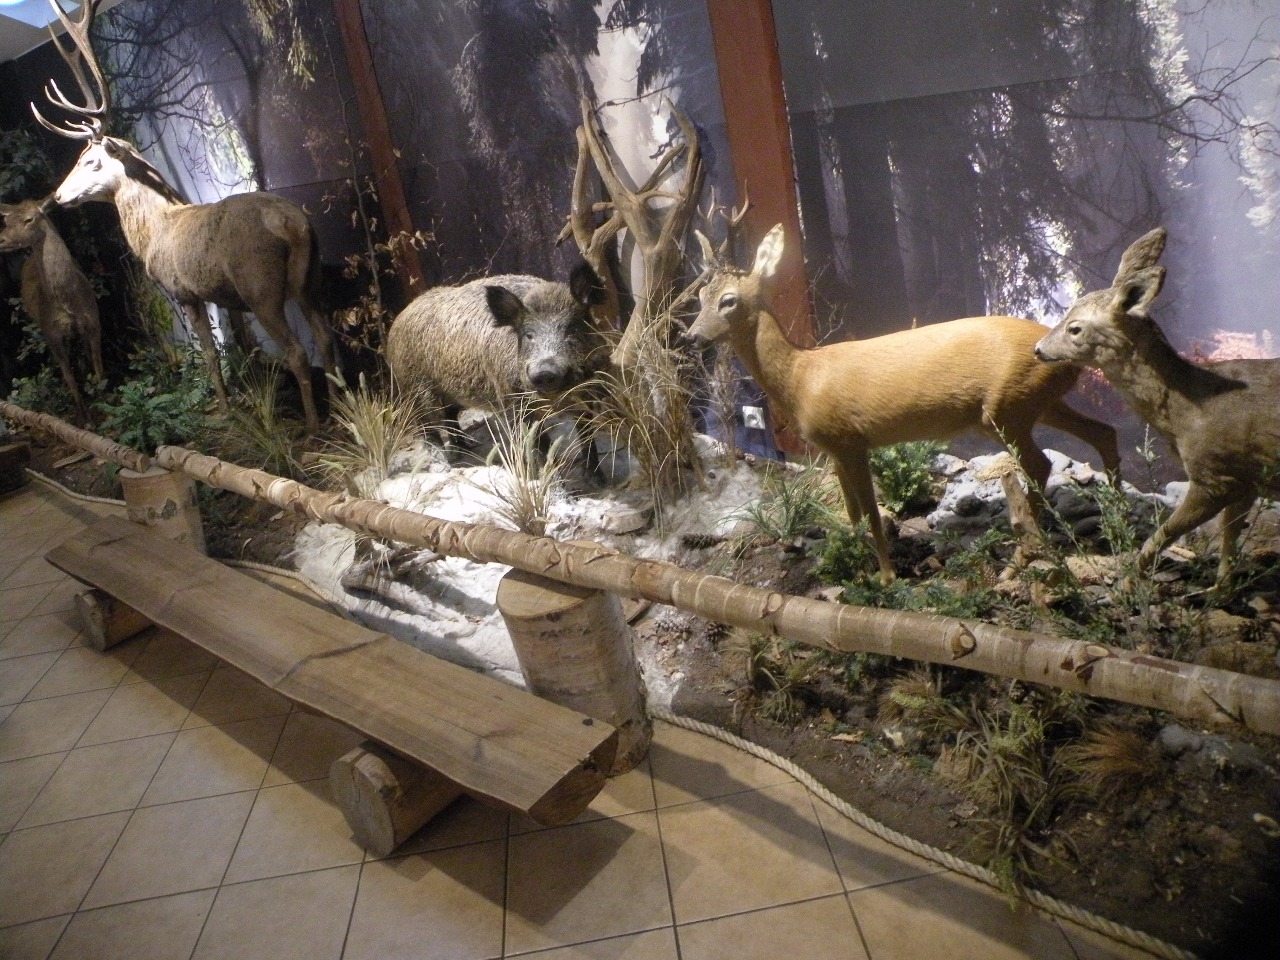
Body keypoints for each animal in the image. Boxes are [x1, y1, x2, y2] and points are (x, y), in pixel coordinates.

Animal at [0, 196, 104, 423]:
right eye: (6, 221)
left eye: (29, 219)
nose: (1, 240)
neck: (69, 302)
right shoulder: (51, 331)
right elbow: (68, 376)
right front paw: (86, 419)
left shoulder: (94, 321)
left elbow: (98, 364)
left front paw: (106, 403)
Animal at [31, 0, 336, 433]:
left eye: (89, 161)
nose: (58, 195)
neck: (153, 232)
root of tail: (294, 225)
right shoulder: (221, 297)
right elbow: (239, 348)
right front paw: (249, 397)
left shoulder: (183, 290)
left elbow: (210, 352)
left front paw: (224, 409)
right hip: (311, 278)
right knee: (325, 336)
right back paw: (344, 403)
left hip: (260, 286)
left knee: (296, 350)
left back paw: (312, 426)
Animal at [686, 224, 1122, 586]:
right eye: (700, 296)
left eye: (728, 301)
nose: (692, 336)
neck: (802, 378)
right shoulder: (834, 450)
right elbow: (852, 512)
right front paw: (855, 566)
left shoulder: (851, 440)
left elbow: (872, 512)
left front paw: (886, 576)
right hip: (1038, 403)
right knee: (1103, 431)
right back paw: (1119, 530)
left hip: (1004, 409)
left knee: (1040, 463)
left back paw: (1017, 564)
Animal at [1036, 228, 1280, 586]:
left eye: (1075, 327)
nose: (1038, 349)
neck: (1185, 413)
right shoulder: (1244, 480)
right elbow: (1229, 544)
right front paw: (1219, 591)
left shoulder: (1214, 477)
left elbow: (1162, 534)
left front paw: (1127, 585)